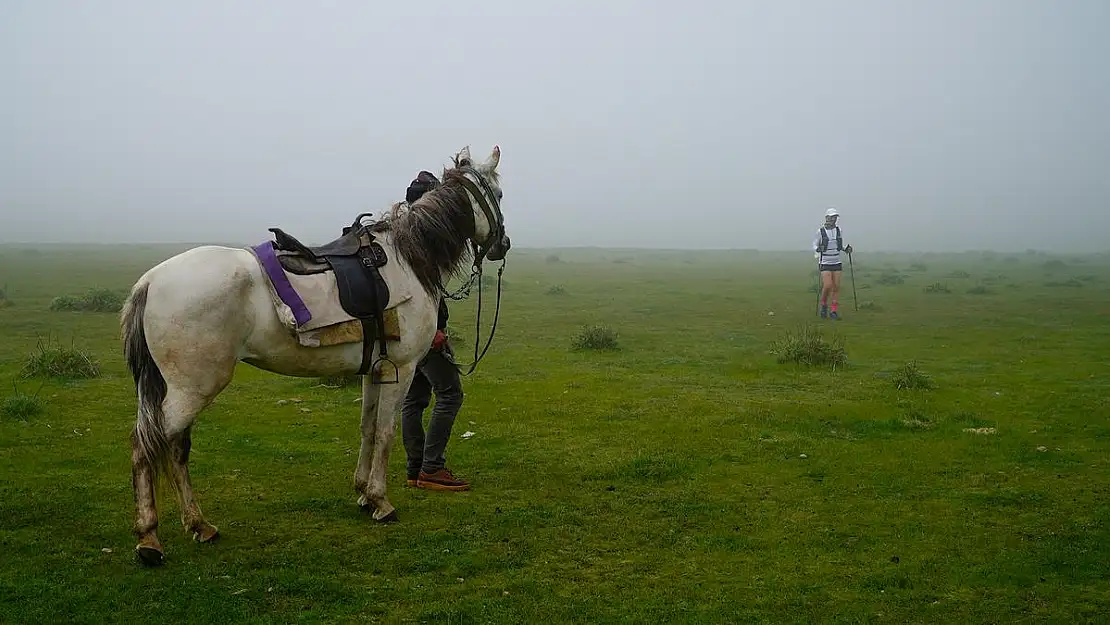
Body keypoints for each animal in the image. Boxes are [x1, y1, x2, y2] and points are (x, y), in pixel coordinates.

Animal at [118, 145, 508, 568]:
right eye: (499, 195)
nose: (503, 245)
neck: (410, 259)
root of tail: (150, 281)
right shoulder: (402, 370)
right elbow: (387, 431)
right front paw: (382, 502)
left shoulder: (376, 370)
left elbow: (368, 427)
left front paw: (363, 493)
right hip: (193, 388)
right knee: (149, 444)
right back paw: (150, 539)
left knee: (174, 445)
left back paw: (199, 525)